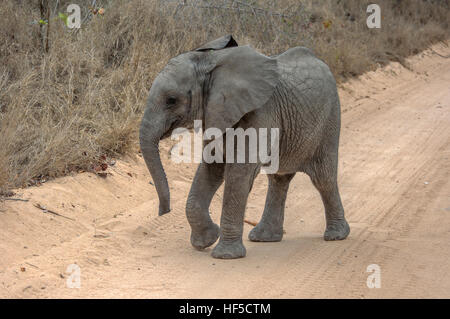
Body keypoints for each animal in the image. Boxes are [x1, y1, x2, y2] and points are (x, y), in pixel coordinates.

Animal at [139, 35, 350, 260]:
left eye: (171, 100)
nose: (164, 212)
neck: (212, 62)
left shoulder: (260, 112)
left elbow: (238, 175)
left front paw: (225, 255)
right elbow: (212, 167)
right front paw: (206, 241)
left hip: (330, 118)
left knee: (323, 177)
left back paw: (336, 236)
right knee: (278, 179)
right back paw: (264, 238)